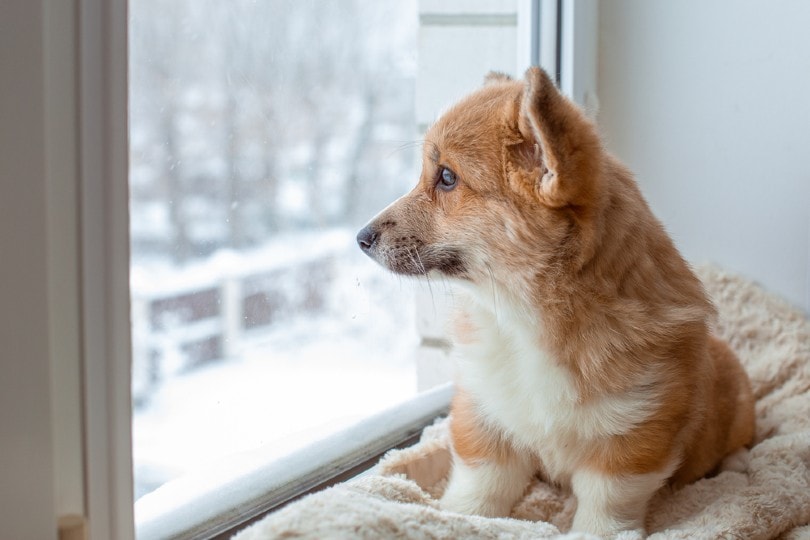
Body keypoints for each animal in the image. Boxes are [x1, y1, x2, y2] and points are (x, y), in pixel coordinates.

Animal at [356, 66, 756, 536]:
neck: (523, 319)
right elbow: (481, 484)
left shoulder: (634, 437)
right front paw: (457, 517)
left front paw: (596, 532)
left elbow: (607, 506)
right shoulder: (486, 412)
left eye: (448, 178)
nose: (361, 238)